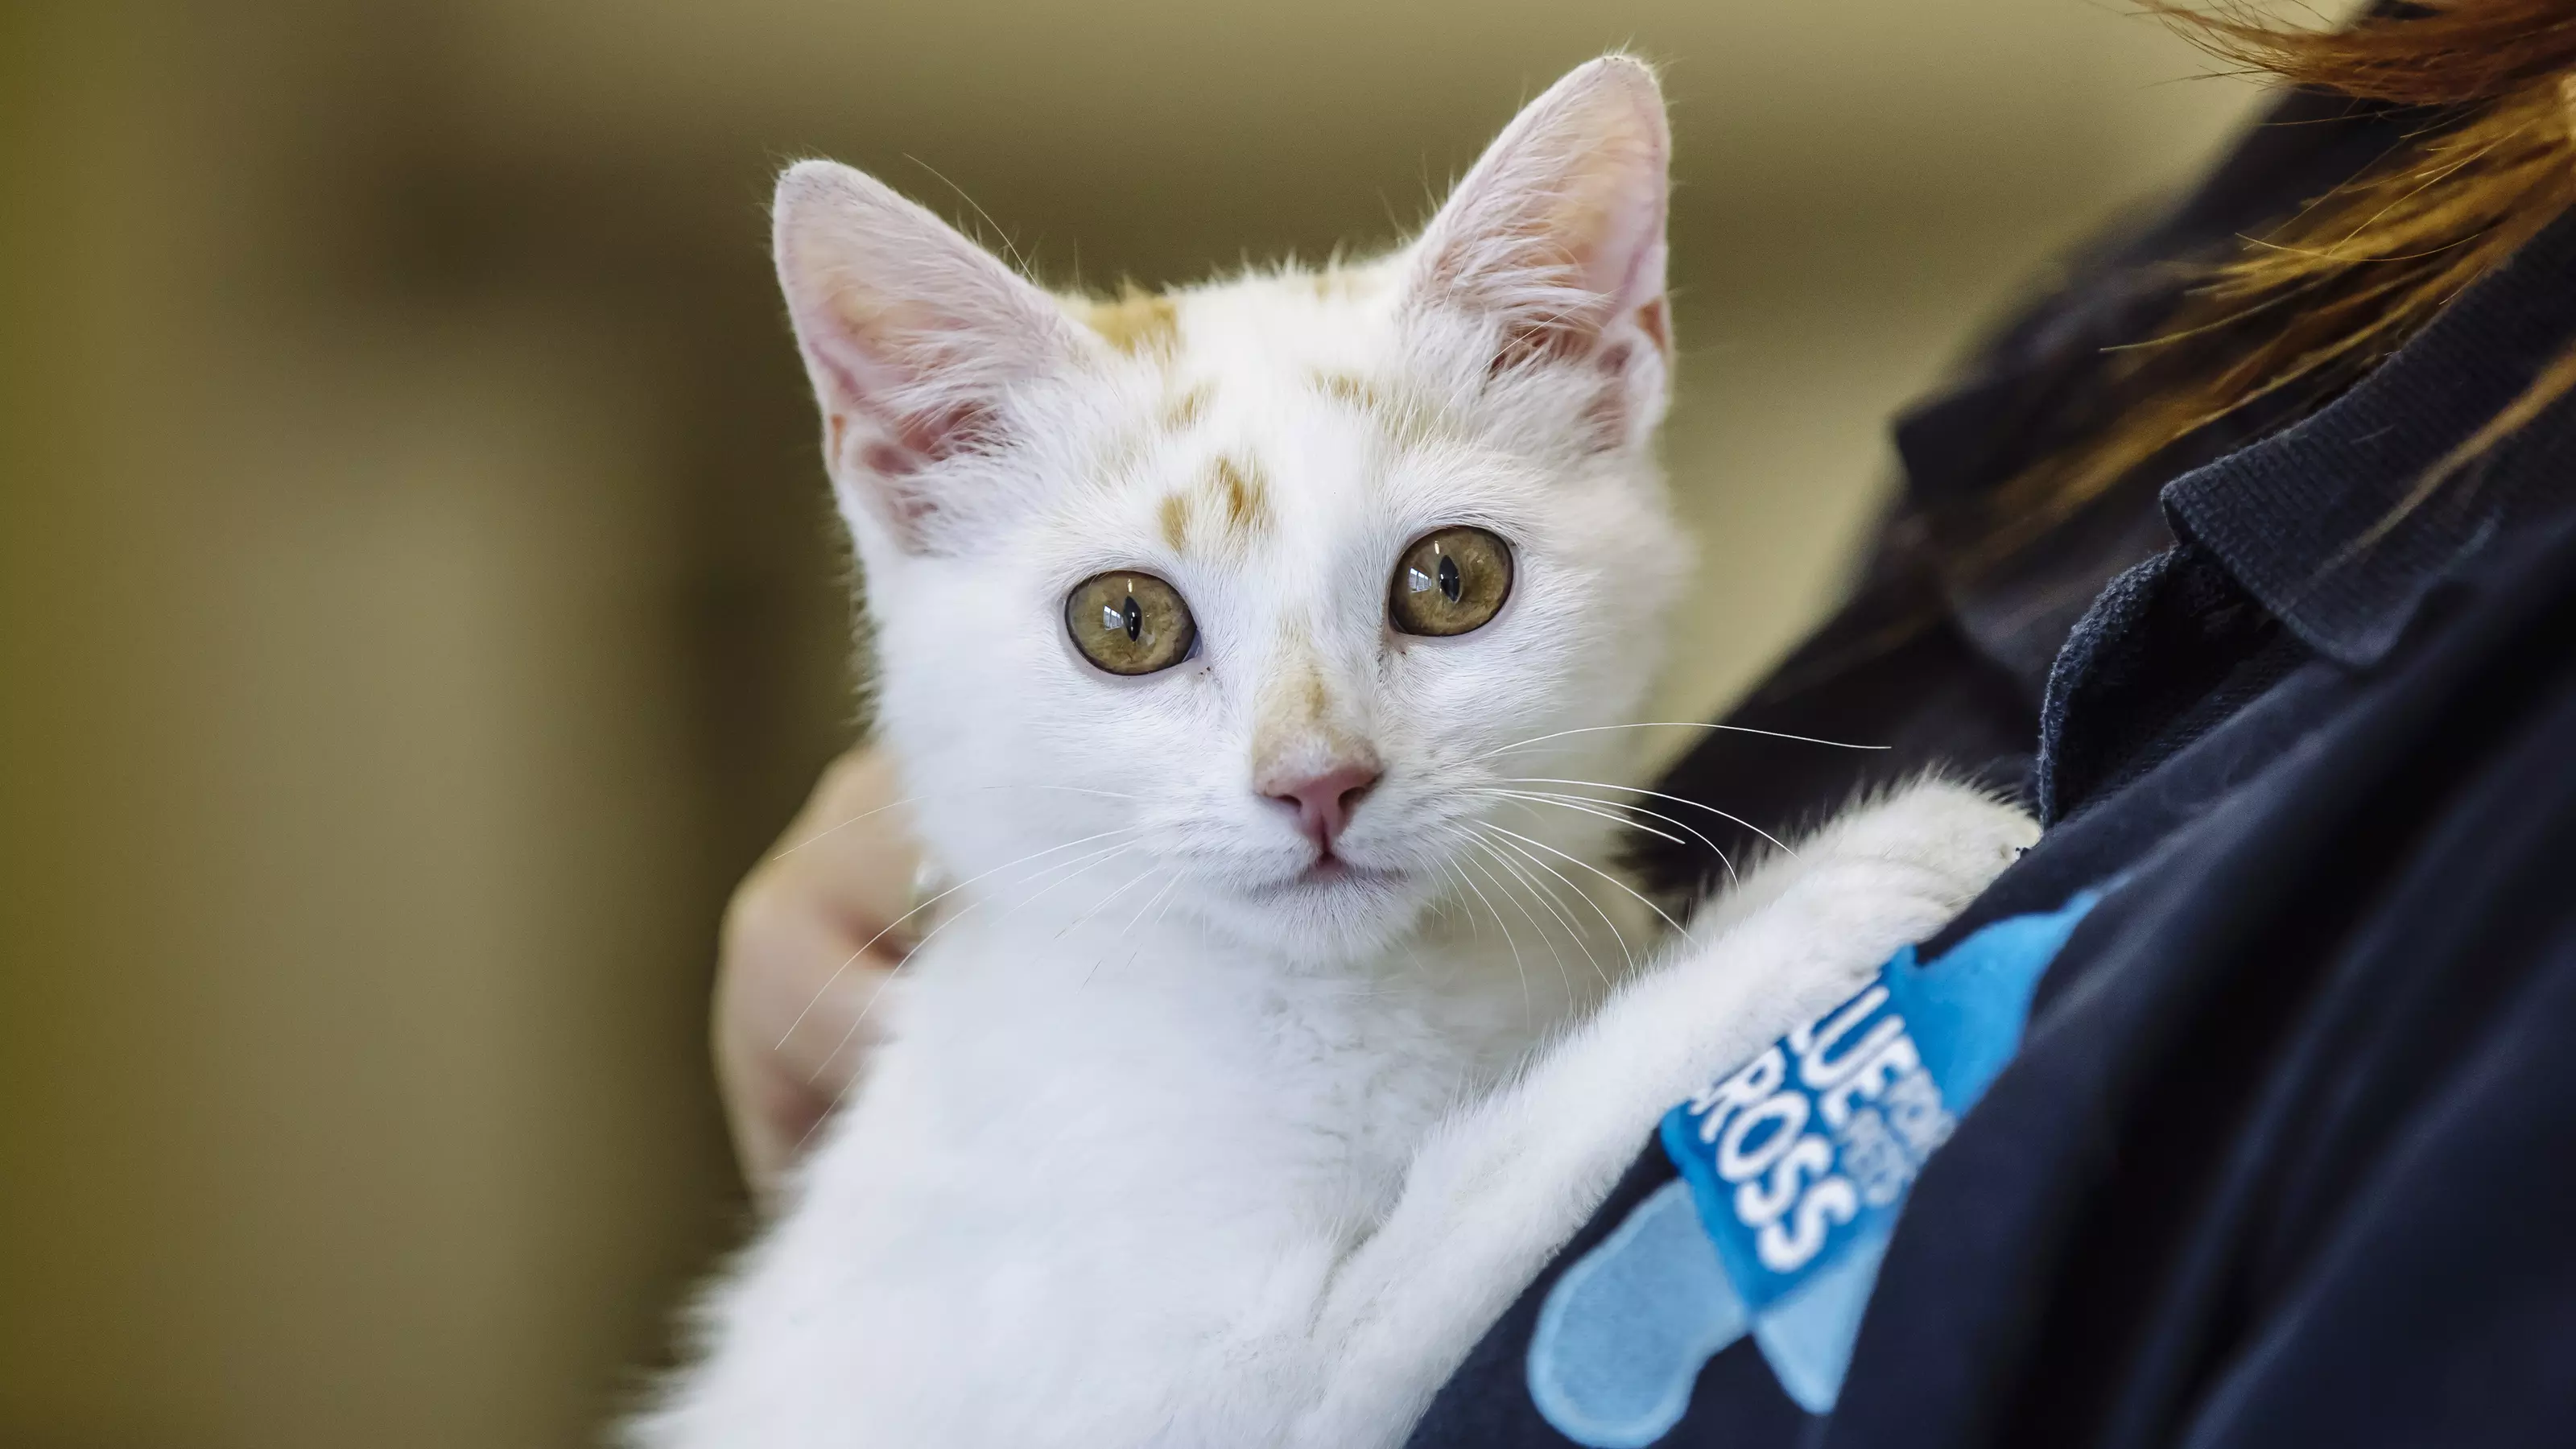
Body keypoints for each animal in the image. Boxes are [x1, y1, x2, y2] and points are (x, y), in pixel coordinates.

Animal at [628, 56, 2029, 1443]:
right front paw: (1856, 876)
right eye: (1123, 621)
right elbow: (1483, 1173)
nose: (1316, 781)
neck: (1341, 1005)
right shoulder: (1201, 1394)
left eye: (1452, 580)